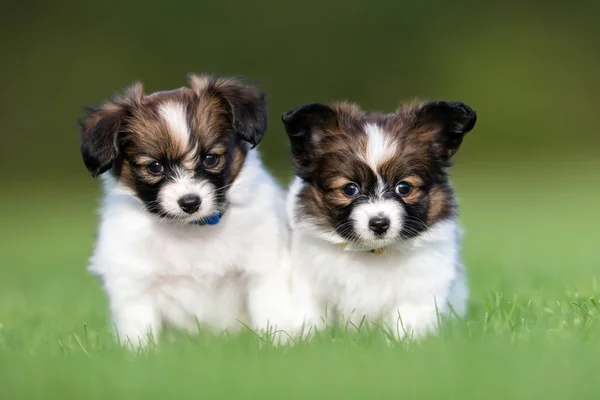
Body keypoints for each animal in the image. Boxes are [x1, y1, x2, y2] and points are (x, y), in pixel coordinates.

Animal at [80, 75, 292, 346]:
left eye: (211, 158)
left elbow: (272, 313)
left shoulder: (262, 268)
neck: (190, 229)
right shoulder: (134, 284)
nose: (190, 202)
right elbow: (140, 331)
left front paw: (279, 344)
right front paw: (141, 353)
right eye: (155, 167)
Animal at [282, 99, 478, 338]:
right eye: (349, 189)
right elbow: (311, 319)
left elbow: (409, 324)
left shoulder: (419, 291)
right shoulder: (311, 285)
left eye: (404, 188)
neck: (373, 252)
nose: (379, 224)